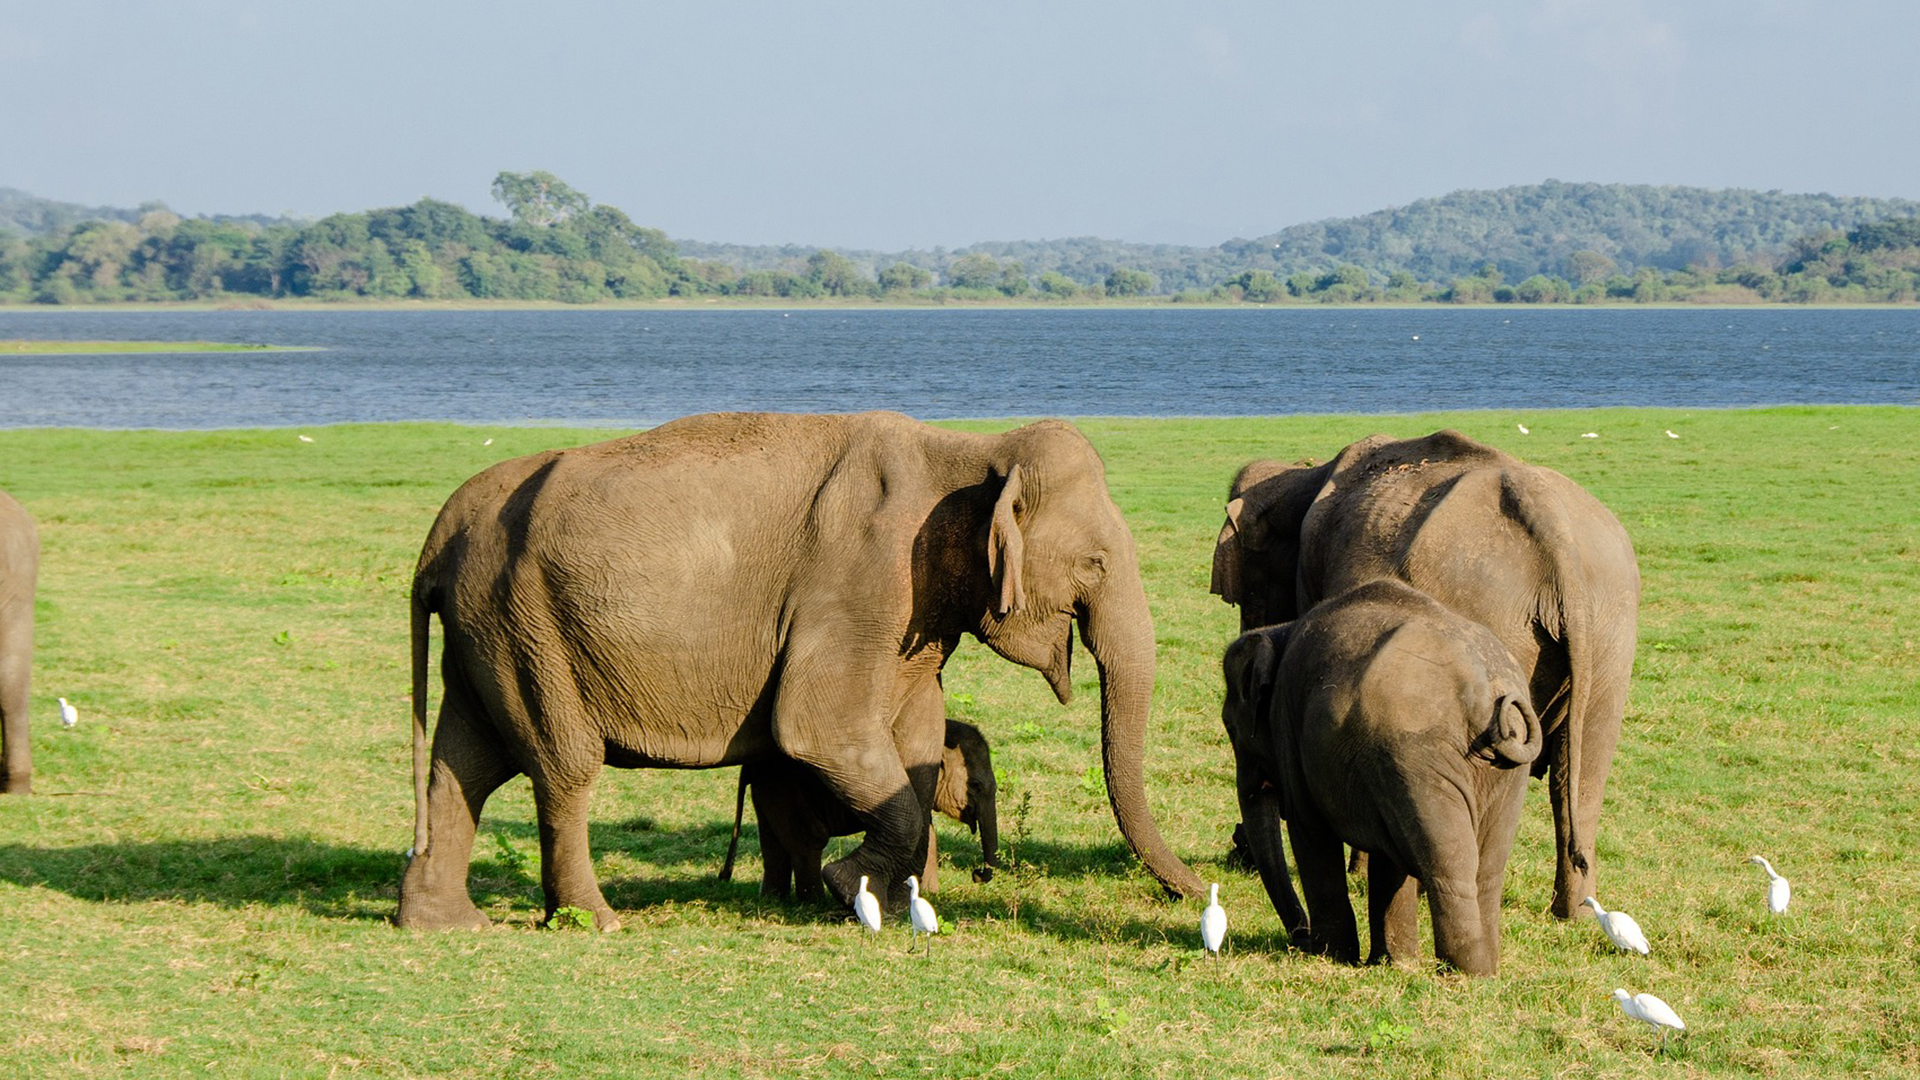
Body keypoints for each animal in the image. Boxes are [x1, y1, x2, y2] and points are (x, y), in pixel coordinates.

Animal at [721, 714, 1006, 899]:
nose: (976, 874)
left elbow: (927, 832)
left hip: (769, 790)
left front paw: (929, 892)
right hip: (787, 789)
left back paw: (774, 901)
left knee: (773, 843)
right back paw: (813, 903)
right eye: (976, 786)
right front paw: (928, 893)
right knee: (809, 840)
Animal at [1213, 428, 1635, 914]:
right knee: (1581, 773)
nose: (1236, 851)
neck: (1305, 471)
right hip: (1611, 629)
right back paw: (1573, 913)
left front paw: (1361, 870)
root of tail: (1554, 529)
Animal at [1221, 584, 1551, 972]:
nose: (1299, 938)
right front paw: (1394, 963)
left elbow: (1310, 832)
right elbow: (1389, 858)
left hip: (1419, 755)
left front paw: (1333, 956)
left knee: (1448, 862)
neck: (1279, 631)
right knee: (1486, 870)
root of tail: (1485, 691)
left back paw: (1460, 970)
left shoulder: (1290, 730)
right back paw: (1484, 971)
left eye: (1231, 728)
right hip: (1499, 775)